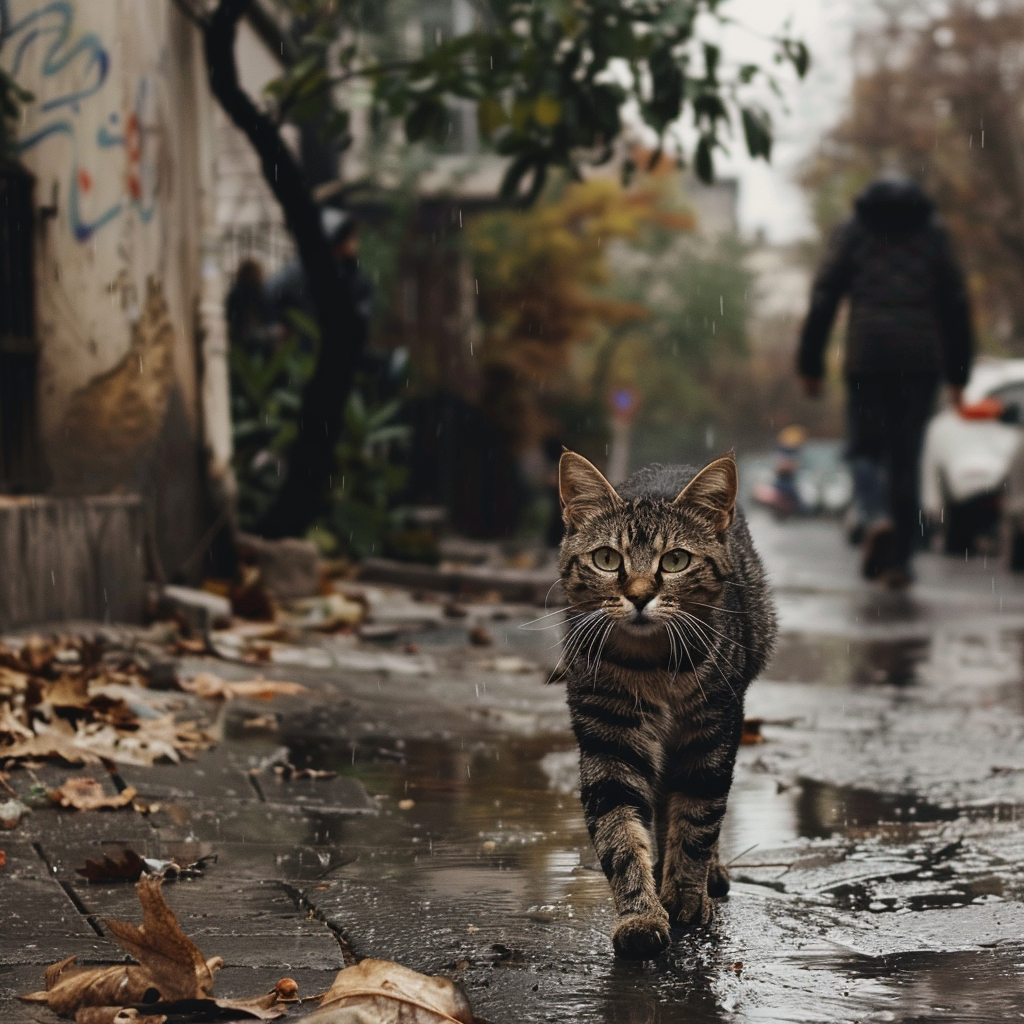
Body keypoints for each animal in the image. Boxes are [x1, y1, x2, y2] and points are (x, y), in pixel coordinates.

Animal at [561, 452, 774, 954]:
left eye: (676, 560)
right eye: (606, 558)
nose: (640, 595)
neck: (653, 666)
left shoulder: (713, 731)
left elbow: (698, 817)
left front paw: (685, 893)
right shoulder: (608, 738)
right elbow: (619, 831)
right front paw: (641, 913)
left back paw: (707, 873)